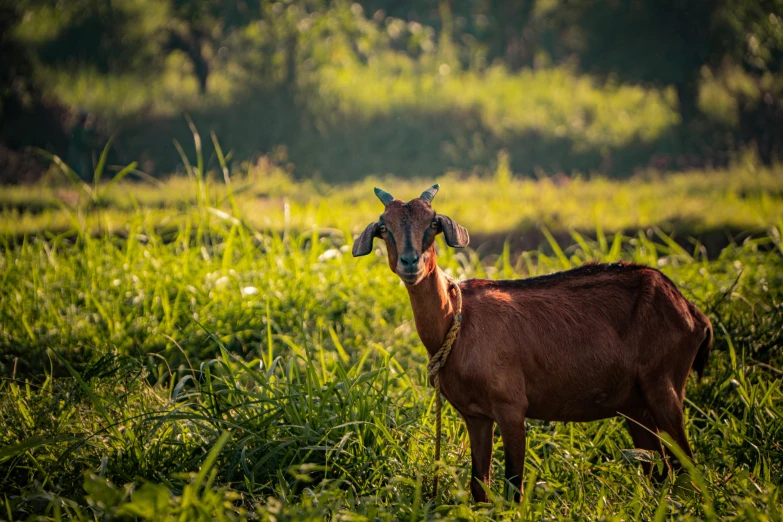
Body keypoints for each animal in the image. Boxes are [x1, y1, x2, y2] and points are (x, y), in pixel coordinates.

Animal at [352, 184, 712, 500]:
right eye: (384, 227)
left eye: (433, 223)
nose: (410, 262)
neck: (458, 320)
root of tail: (691, 311)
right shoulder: (475, 416)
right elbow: (479, 487)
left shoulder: (512, 407)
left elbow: (514, 487)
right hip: (635, 404)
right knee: (658, 470)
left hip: (664, 385)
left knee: (687, 467)